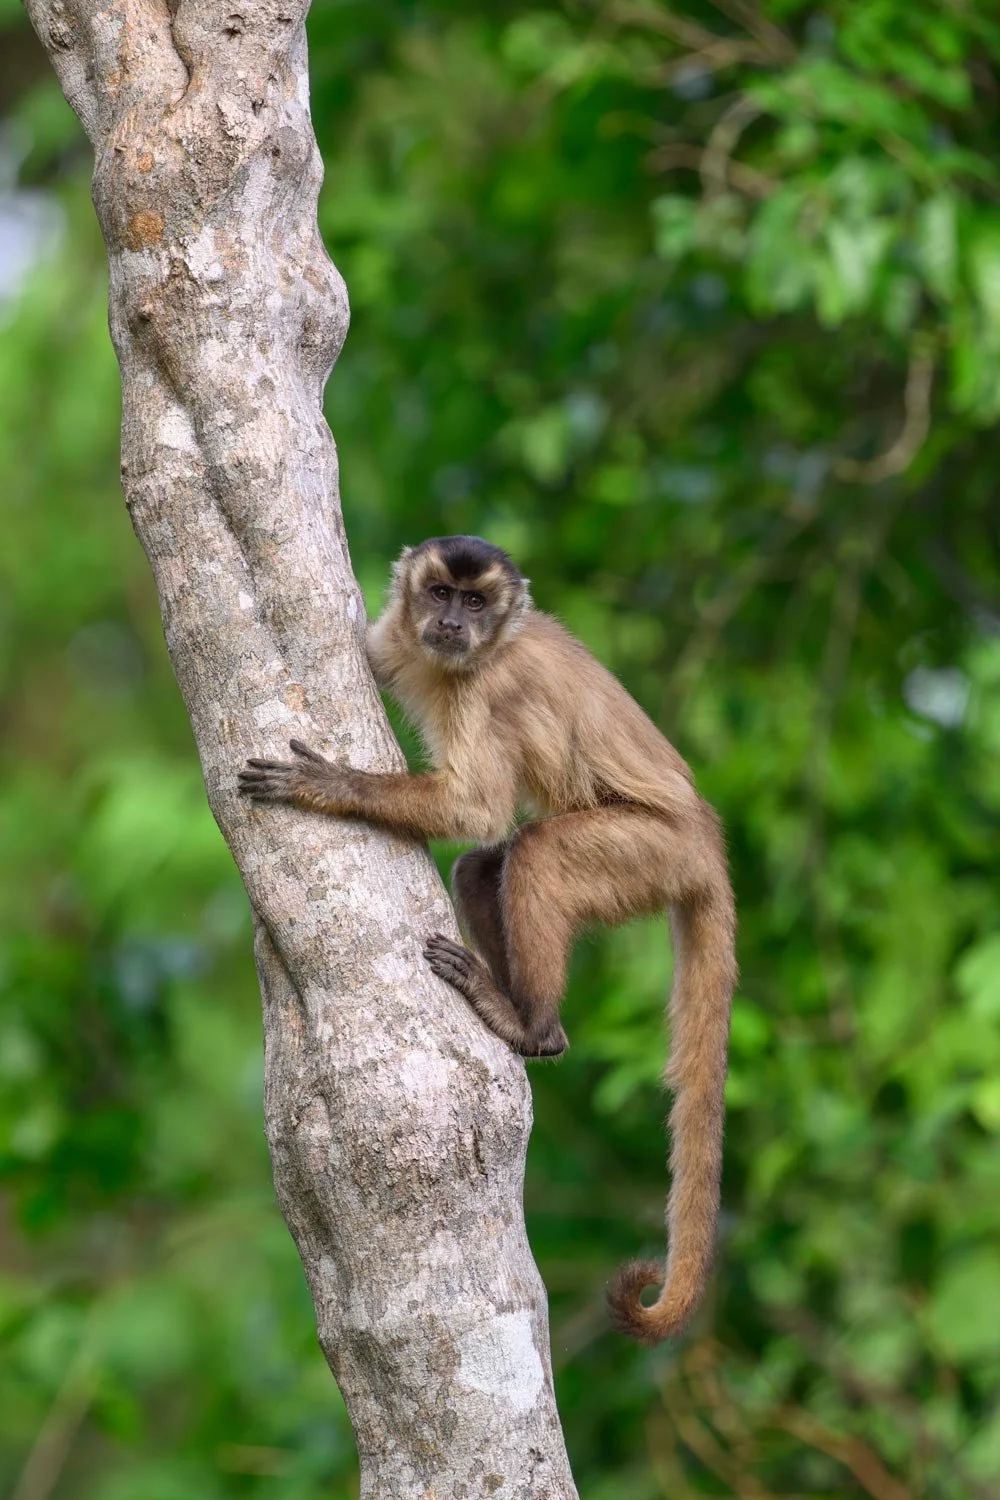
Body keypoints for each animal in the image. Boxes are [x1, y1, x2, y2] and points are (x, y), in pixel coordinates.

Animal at [238, 535, 737, 1345]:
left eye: (476, 603)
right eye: (441, 593)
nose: (451, 624)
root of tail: (708, 839)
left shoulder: (491, 687)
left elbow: (474, 809)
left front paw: (334, 787)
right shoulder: (395, 639)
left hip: (656, 851)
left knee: (533, 852)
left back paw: (529, 1024)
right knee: (483, 867)